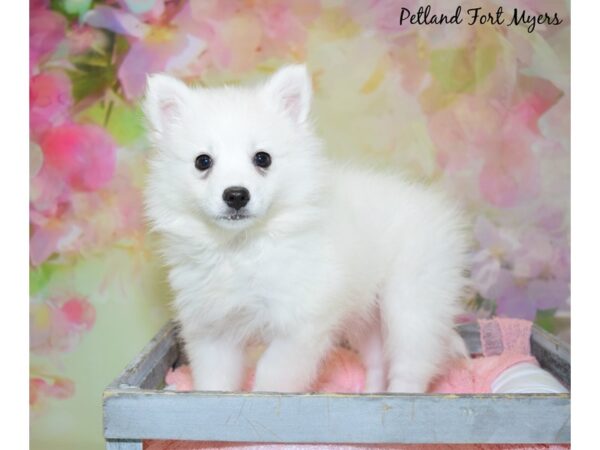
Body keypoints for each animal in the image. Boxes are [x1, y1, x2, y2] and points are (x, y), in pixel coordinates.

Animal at [142, 65, 468, 392]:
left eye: (263, 158)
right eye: (202, 161)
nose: (236, 195)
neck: (242, 246)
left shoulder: (300, 326)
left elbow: (272, 375)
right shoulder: (213, 330)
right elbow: (215, 383)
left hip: (412, 302)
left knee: (411, 366)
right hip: (366, 314)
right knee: (378, 361)